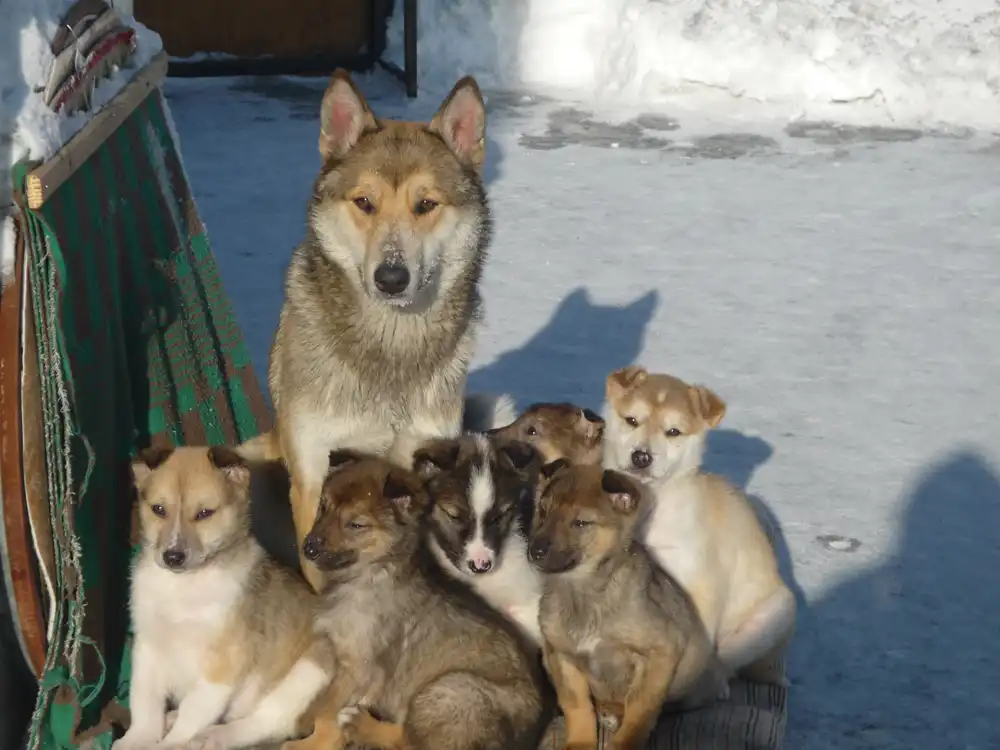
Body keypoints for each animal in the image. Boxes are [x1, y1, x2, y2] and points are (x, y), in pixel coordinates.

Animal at [113, 446, 332, 750]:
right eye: (158, 509)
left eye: (205, 513)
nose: (172, 557)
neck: (182, 588)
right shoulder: (148, 647)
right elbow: (145, 703)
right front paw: (138, 739)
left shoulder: (223, 663)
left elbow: (192, 713)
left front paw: (173, 743)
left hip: (311, 668)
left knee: (269, 722)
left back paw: (213, 737)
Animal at [528, 460, 717, 750]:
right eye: (543, 510)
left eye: (581, 523)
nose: (534, 551)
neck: (585, 591)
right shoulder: (560, 655)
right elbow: (577, 706)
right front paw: (580, 742)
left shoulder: (661, 653)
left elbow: (638, 713)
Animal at [602, 365, 797, 684]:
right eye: (631, 420)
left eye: (673, 432)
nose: (641, 457)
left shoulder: (698, 583)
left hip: (777, 610)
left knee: (728, 663)